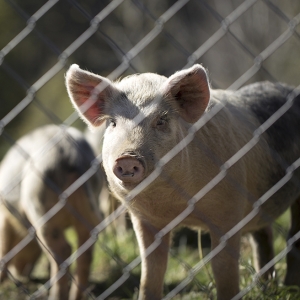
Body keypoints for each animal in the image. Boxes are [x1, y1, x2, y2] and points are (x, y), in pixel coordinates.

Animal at [0, 124, 103, 300]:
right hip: (90, 206)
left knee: (63, 249)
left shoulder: (4, 218)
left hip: (39, 203)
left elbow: (4, 246)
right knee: (85, 249)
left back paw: (54, 296)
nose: (22, 274)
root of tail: (71, 155)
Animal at [65, 63, 300, 300]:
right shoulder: (145, 220)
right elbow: (151, 271)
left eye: (161, 120)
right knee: (264, 234)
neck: (176, 205)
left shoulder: (229, 211)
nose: (127, 158)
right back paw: (266, 287)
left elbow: (222, 267)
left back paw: (289, 287)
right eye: (113, 123)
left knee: (291, 235)